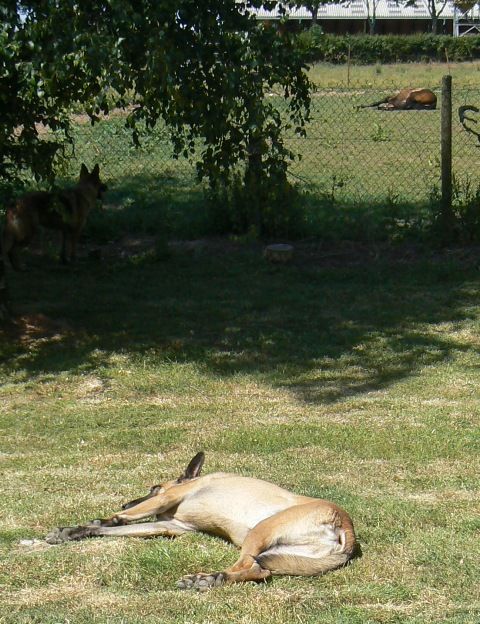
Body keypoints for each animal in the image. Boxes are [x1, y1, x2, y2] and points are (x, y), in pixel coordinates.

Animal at [46, 454, 360, 588]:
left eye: (154, 487)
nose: (126, 501)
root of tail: (346, 526)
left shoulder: (167, 498)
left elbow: (117, 519)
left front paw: (86, 525)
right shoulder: (169, 526)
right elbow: (119, 527)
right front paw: (77, 532)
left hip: (259, 531)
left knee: (250, 567)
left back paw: (208, 578)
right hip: (282, 551)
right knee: (260, 572)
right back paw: (213, 579)